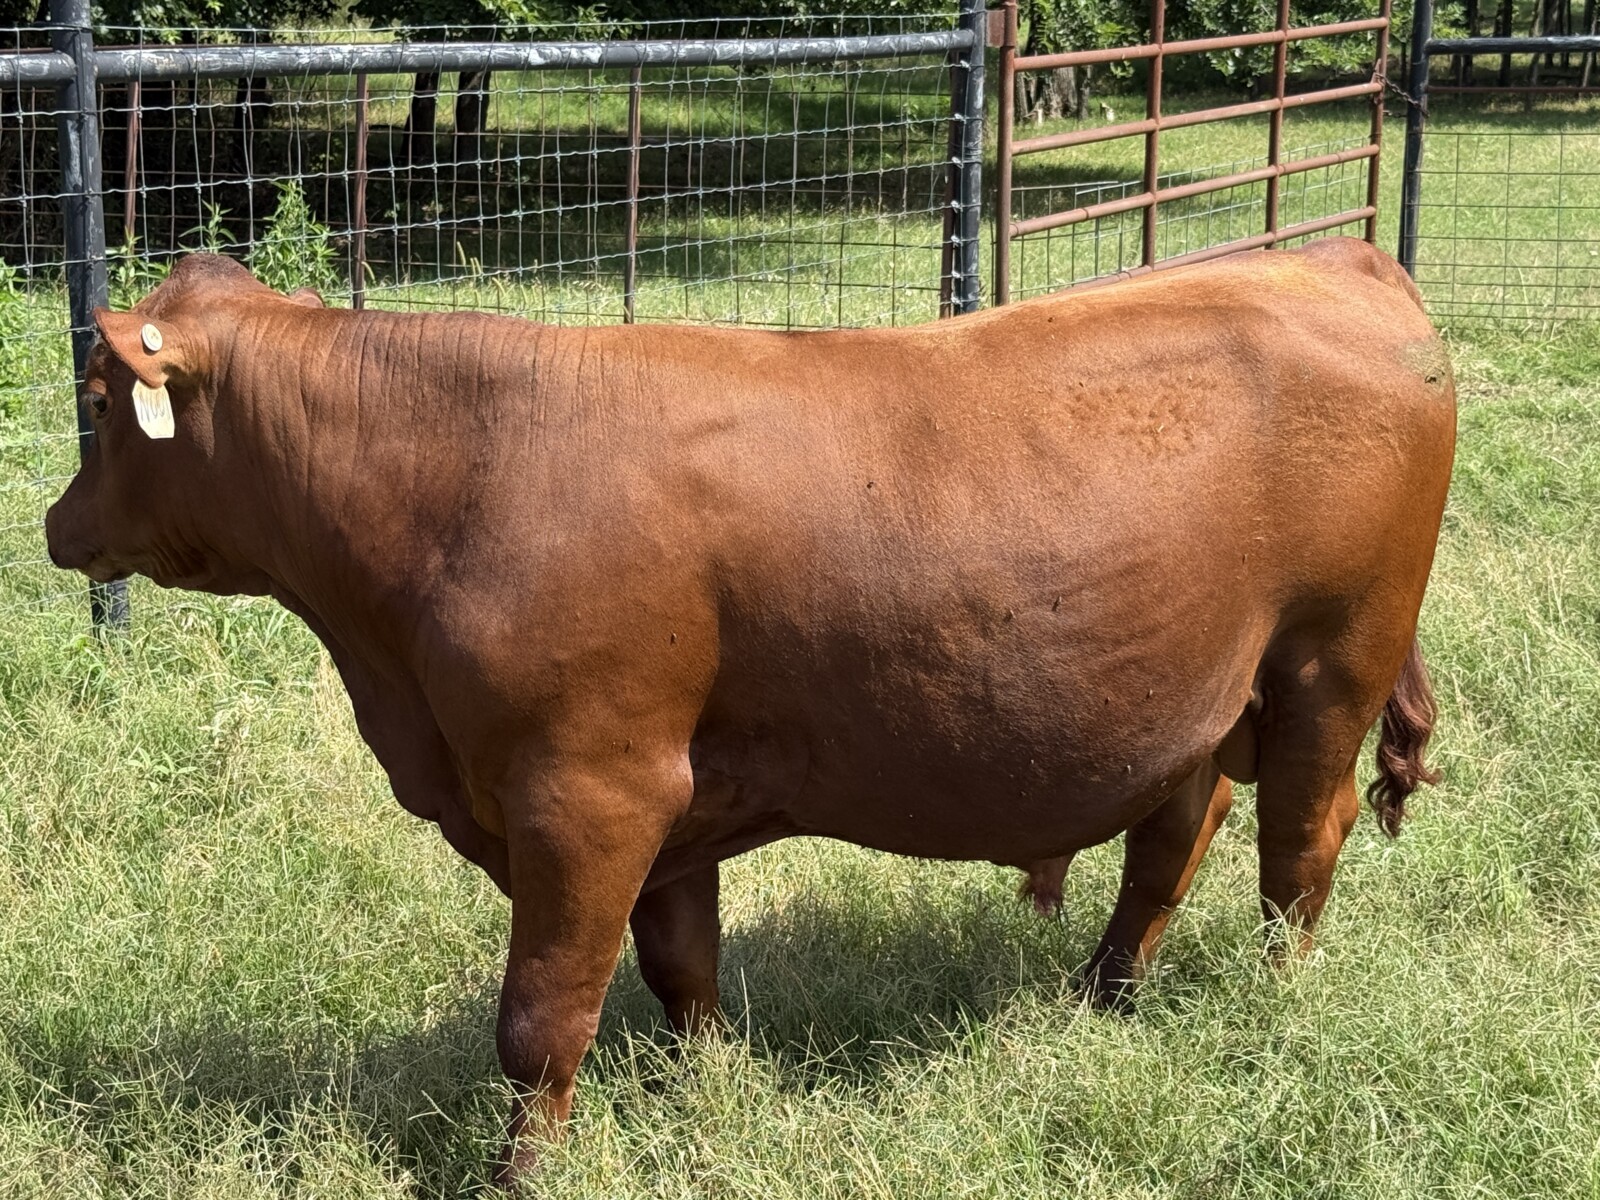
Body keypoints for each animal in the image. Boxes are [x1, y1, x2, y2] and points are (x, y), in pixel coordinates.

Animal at [45, 237, 1453, 1184]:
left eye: (100, 405)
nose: (57, 527)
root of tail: (1332, 257)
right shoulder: (662, 800)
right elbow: (682, 971)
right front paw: (708, 1097)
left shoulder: (586, 791)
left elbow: (541, 1019)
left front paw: (520, 1173)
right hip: (1196, 694)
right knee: (1172, 839)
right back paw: (1098, 1002)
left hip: (1331, 660)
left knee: (1298, 847)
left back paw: (1270, 1005)